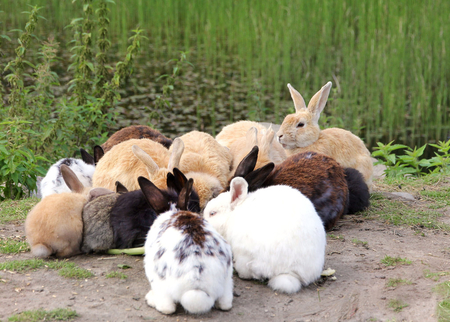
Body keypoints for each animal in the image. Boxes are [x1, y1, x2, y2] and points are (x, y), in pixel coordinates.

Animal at [144, 177, 234, 314]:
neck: (174, 211)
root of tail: (197, 286)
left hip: (159, 281)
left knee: (167, 308)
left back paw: (151, 298)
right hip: (227, 281)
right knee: (226, 304)